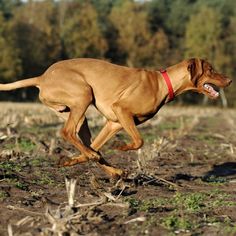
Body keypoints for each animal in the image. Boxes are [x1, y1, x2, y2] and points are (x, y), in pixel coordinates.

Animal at [0, 58, 232, 177]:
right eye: (211, 70)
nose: (230, 80)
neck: (162, 83)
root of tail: (42, 77)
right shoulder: (121, 110)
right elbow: (139, 141)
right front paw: (121, 147)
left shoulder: (114, 123)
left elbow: (96, 147)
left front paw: (69, 161)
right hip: (83, 94)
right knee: (67, 132)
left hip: (77, 112)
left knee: (88, 145)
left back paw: (112, 169)